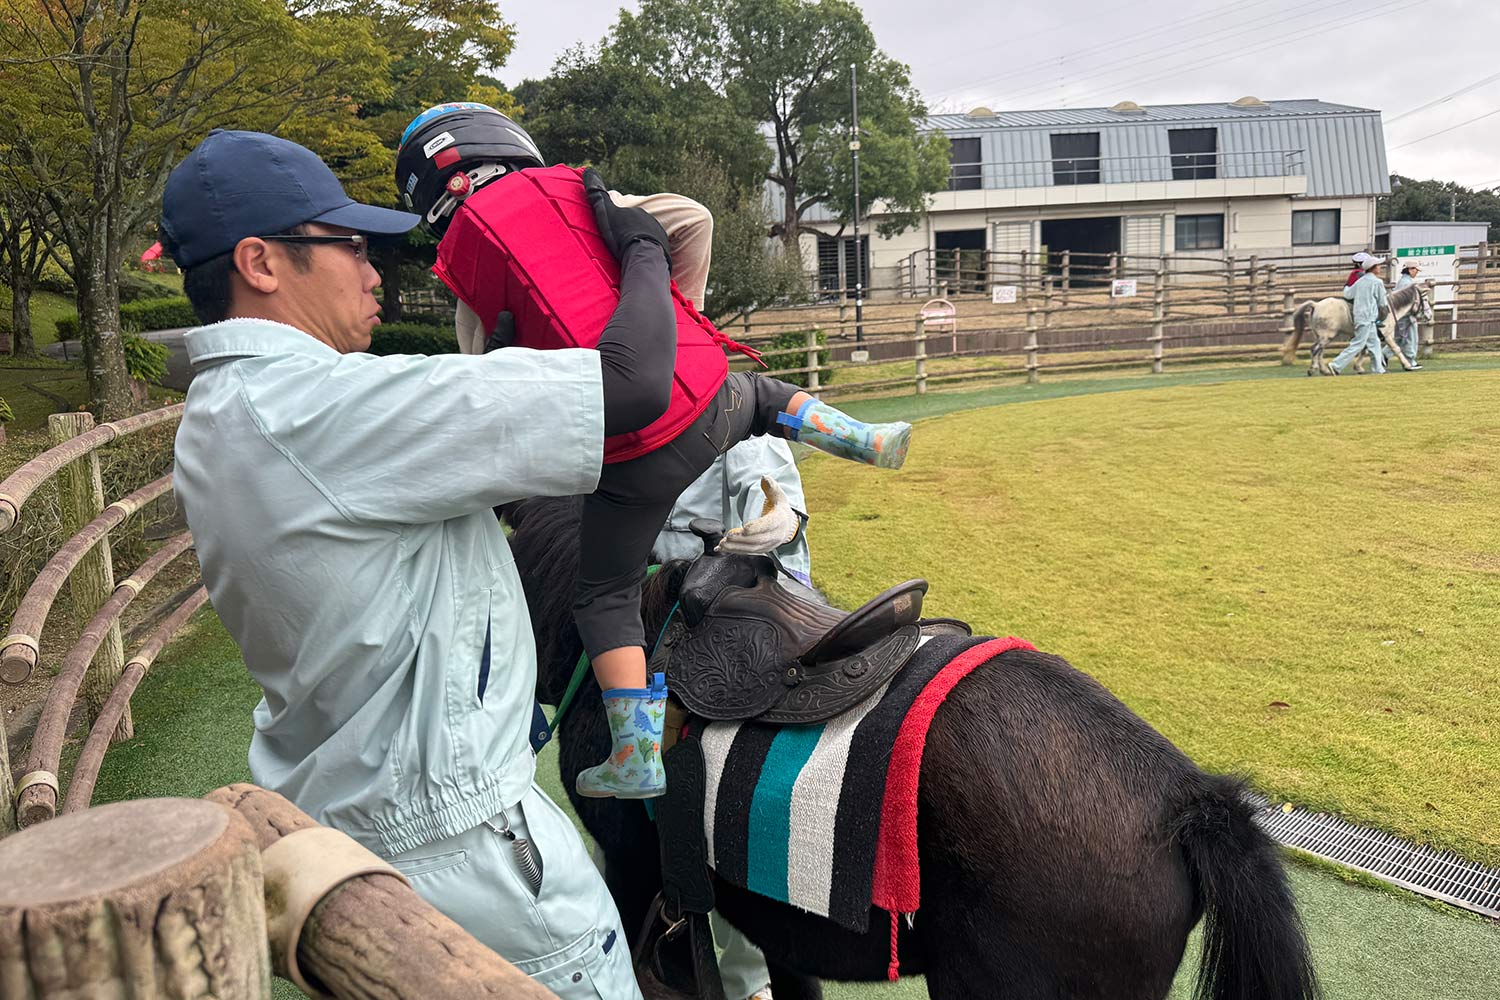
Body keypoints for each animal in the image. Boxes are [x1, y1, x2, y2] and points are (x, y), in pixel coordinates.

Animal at [1281, 281, 1433, 375]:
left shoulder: (1368, 334)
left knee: (1319, 351)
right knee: (1315, 350)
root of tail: (1316, 304)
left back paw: (1324, 370)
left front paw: (1359, 367)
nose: (1429, 315)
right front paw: (1407, 365)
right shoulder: (1387, 335)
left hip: (1322, 336)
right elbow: (1396, 349)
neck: (1390, 309)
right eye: (1425, 299)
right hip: (1326, 336)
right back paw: (1314, 369)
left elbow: (1363, 349)